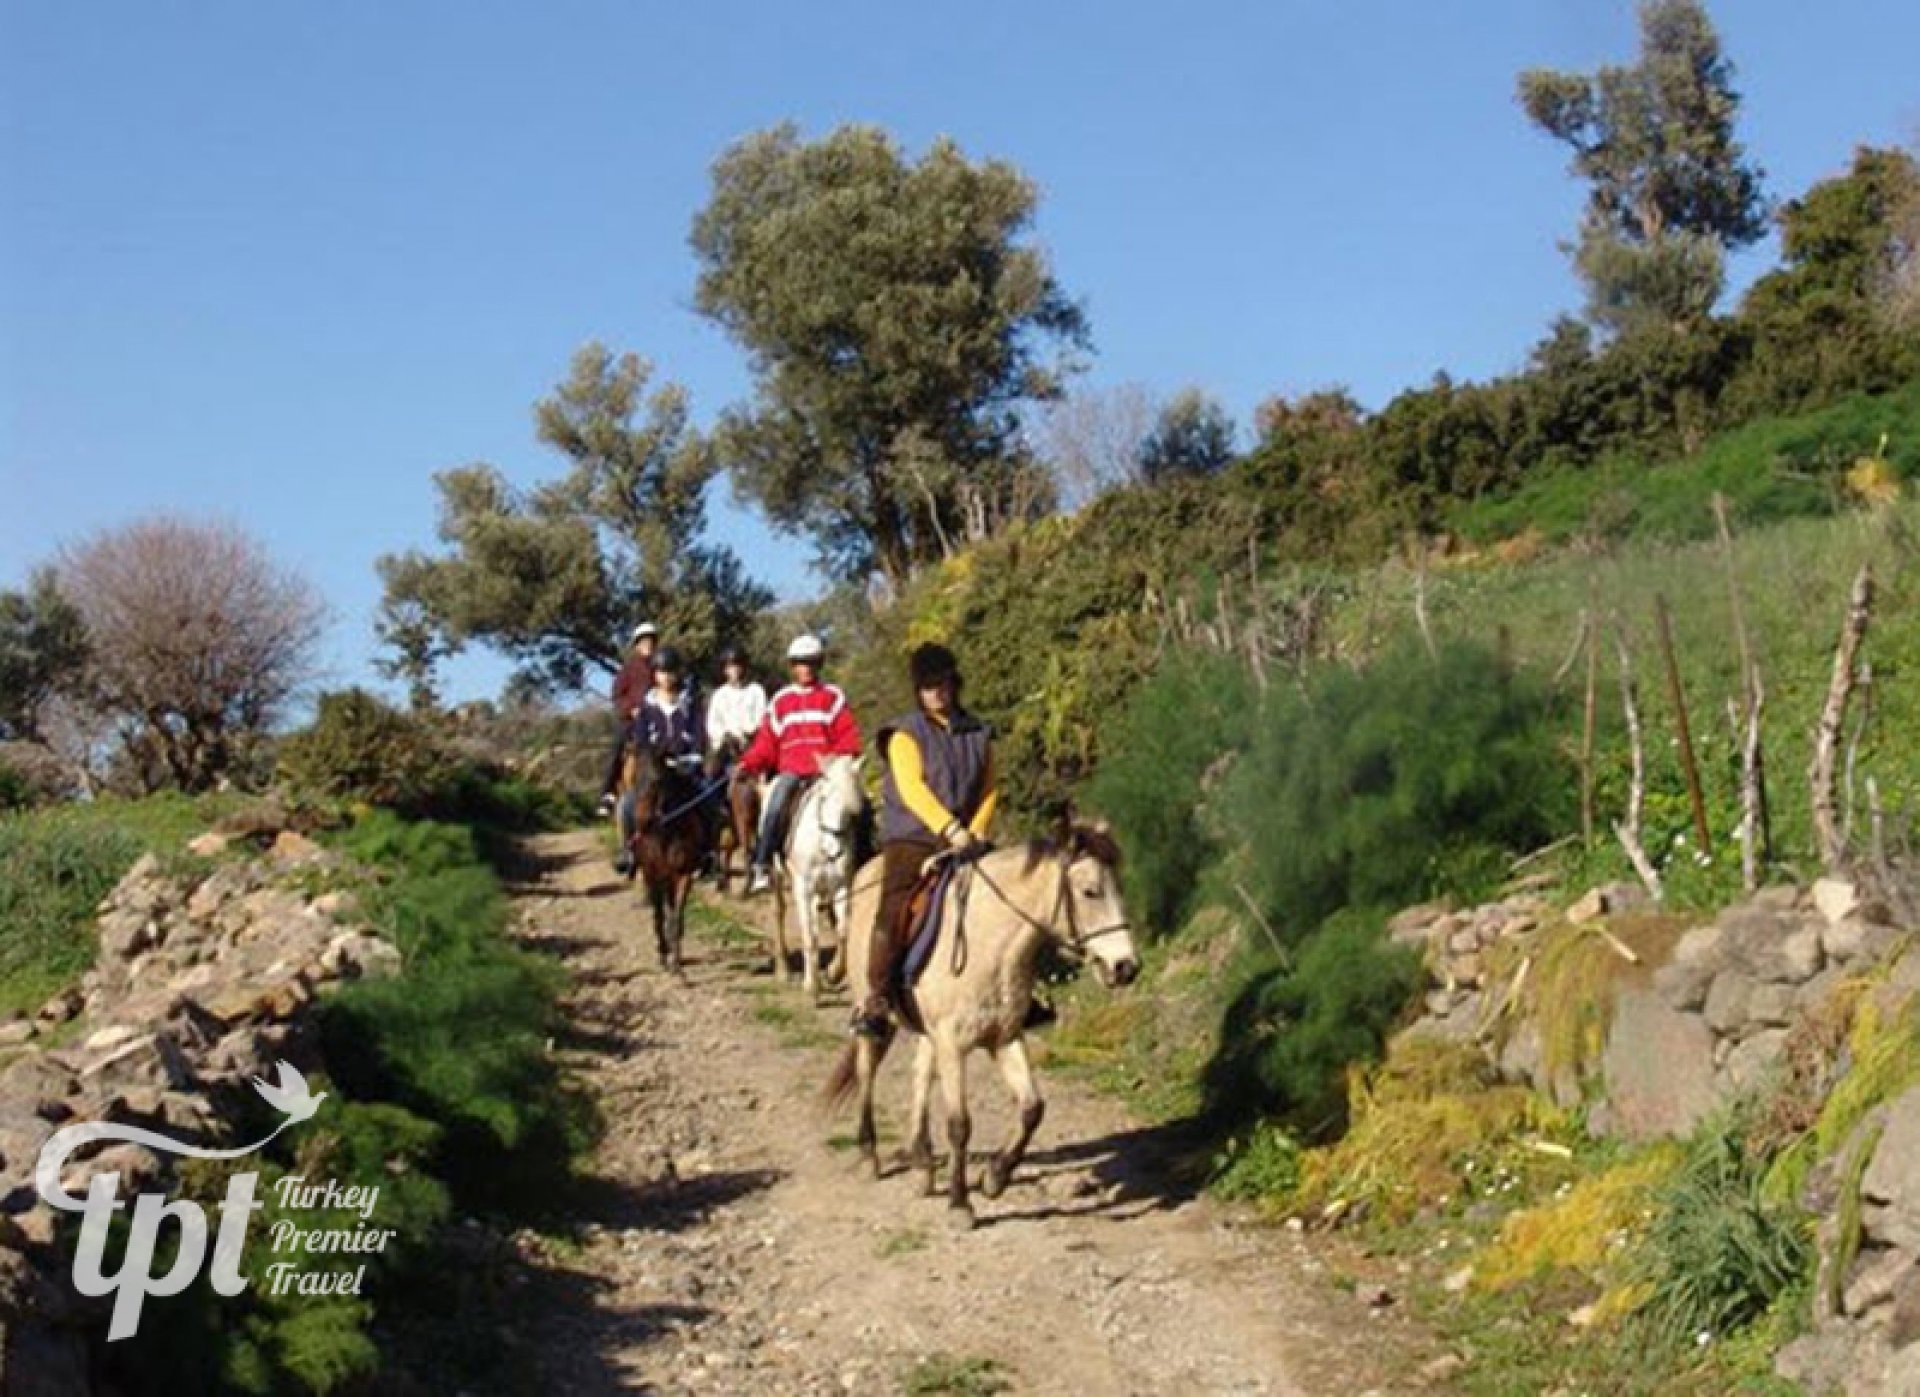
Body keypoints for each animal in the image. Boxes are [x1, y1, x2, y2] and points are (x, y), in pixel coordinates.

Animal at [618, 740, 710, 970]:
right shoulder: (652, 875)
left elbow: (676, 914)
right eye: (634, 780)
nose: (642, 822)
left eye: (657, 781)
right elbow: (658, 914)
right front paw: (662, 952)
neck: (665, 833)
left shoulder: (684, 874)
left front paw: (676, 961)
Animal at [768, 759, 867, 997]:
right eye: (823, 797)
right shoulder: (803, 889)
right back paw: (783, 969)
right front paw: (812, 986)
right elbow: (810, 936)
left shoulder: (842, 886)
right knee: (778, 911)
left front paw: (833, 973)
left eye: (852, 809)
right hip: (776, 875)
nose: (834, 850)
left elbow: (843, 930)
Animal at [821, 825, 1136, 1228]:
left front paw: (994, 1178)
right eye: (1090, 891)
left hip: (929, 1031)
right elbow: (960, 1125)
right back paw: (869, 1154)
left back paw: (923, 1160)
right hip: (873, 1012)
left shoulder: (1005, 1039)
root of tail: (866, 870)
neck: (990, 944)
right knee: (867, 1070)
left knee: (920, 1072)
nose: (1126, 967)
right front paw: (960, 1203)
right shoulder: (954, 1046)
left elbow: (1032, 1109)